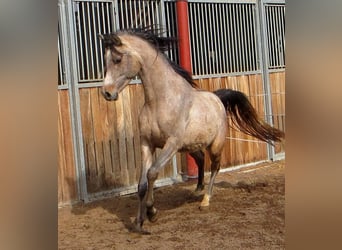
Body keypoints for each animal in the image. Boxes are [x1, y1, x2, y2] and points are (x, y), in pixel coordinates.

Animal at [99, 28, 286, 232]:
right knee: (201, 159)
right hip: (190, 146)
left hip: (214, 146)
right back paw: (198, 189)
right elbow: (141, 185)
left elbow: (152, 173)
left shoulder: (171, 144)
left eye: (117, 59)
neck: (161, 101)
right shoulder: (146, 143)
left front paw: (152, 213)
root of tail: (217, 99)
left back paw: (205, 200)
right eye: (105, 59)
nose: (106, 93)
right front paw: (139, 222)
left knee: (215, 167)